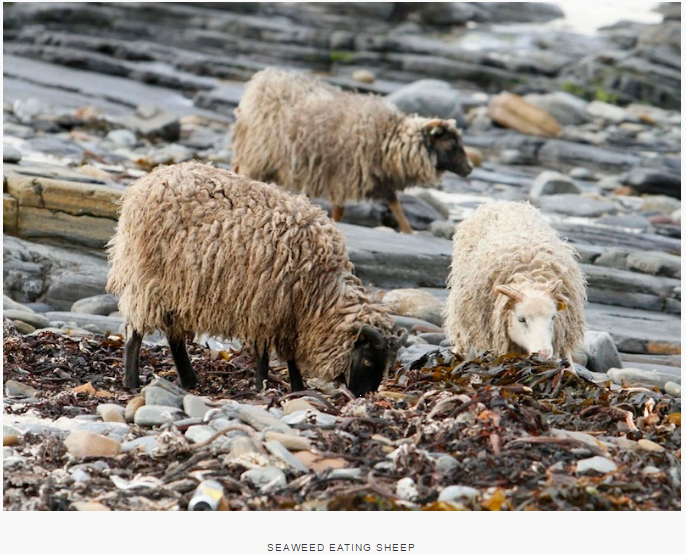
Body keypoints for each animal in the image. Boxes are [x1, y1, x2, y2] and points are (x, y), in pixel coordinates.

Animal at [107, 157, 404, 394]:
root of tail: (144, 184)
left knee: (173, 335)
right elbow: (263, 354)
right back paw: (132, 382)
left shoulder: (288, 318)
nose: (364, 396)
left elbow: (290, 357)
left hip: (178, 288)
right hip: (147, 280)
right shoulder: (265, 307)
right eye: (367, 360)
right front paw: (263, 386)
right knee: (135, 331)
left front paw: (297, 388)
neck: (321, 291)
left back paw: (189, 381)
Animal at [231, 67, 472, 233]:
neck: (388, 139)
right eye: (451, 144)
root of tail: (262, 78)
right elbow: (340, 209)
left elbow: (396, 206)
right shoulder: (342, 174)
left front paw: (408, 231)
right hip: (258, 152)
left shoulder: (382, 179)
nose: (469, 169)